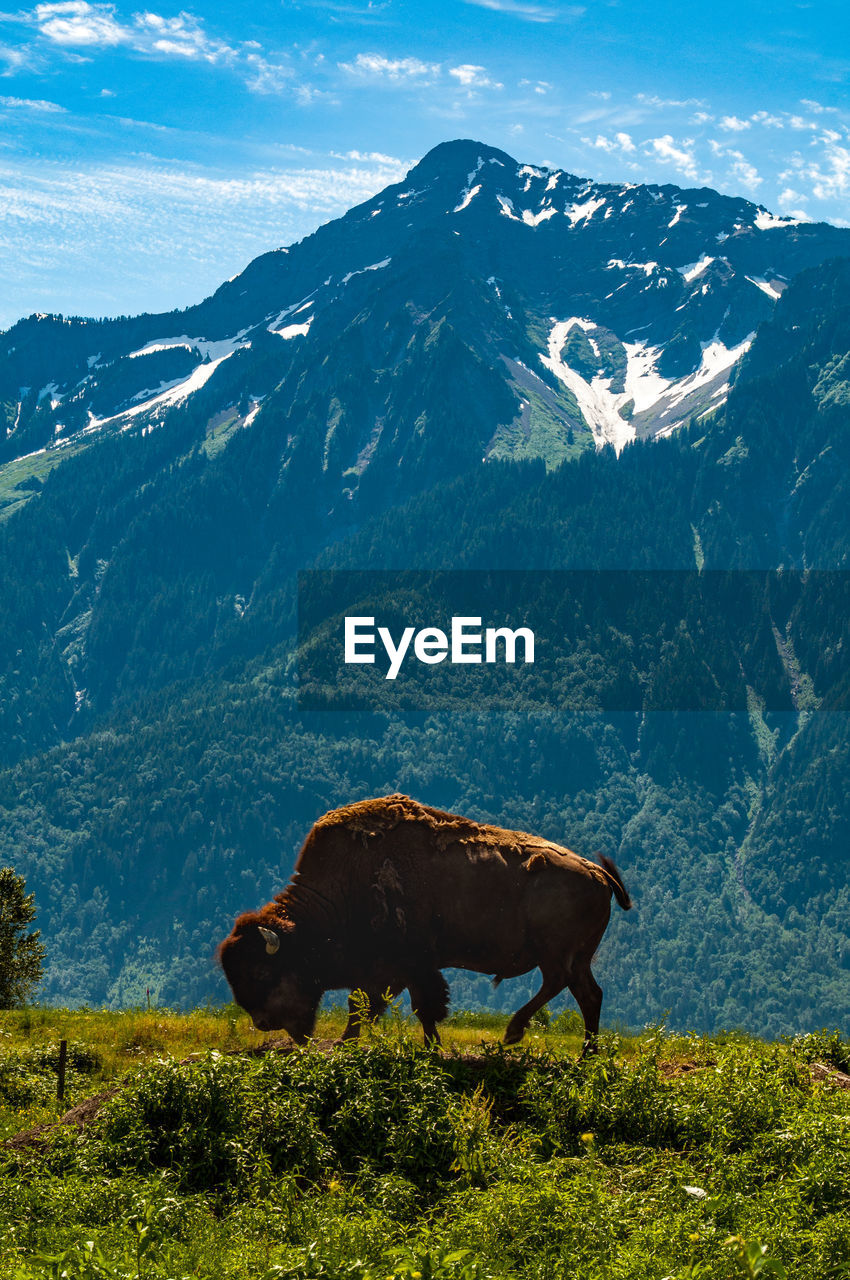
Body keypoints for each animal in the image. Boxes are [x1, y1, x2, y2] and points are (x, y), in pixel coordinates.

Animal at [218, 793, 629, 1054]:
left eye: (261, 972)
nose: (263, 1022)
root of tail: (598, 874)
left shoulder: (403, 967)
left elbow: (400, 1006)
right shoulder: (395, 971)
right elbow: (379, 1006)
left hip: (555, 953)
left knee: (559, 984)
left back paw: (514, 1033)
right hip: (579, 958)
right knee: (589, 994)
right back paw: (585, 1056)